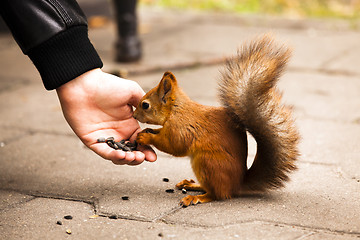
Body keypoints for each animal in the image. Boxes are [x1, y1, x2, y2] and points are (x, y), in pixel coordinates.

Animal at [134, 35, 300, 206]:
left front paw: (146, 137)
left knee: (217, 194)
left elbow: (174, 145)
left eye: (145, 105)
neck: (176, 110)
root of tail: (237, 185)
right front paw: (148, 130)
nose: (134, 115)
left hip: (208, 162)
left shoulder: (181, 127)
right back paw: (192, 185)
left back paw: (196, 197)